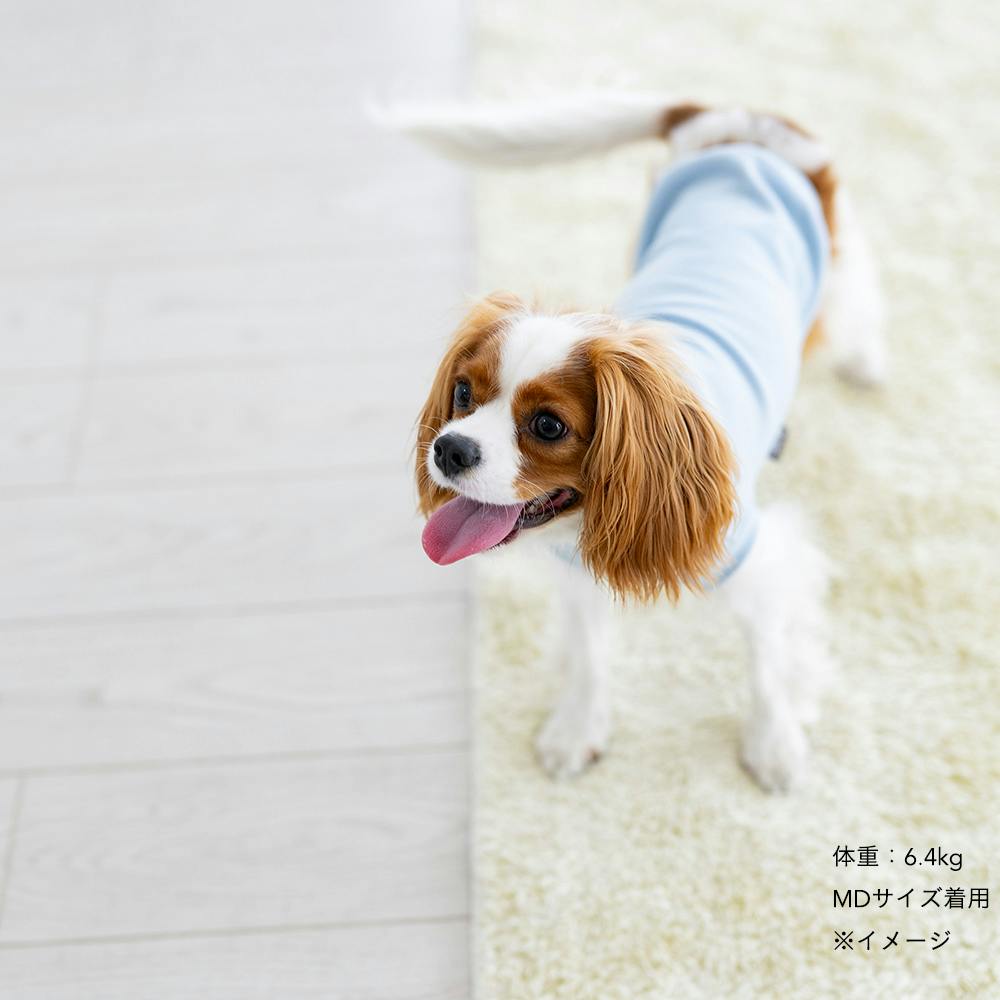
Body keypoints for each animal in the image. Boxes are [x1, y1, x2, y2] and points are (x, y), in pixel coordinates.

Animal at [394, 95, 886, 792]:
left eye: (548, 426)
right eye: (463, 393)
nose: (450, 449)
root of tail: (743, 119)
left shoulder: (759, 562)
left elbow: (767, 659)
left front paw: (774, 743)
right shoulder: (578, 573)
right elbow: (588, 654)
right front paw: (577, 727)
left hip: (833, 272)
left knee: (857, 309)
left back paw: (867, 363)